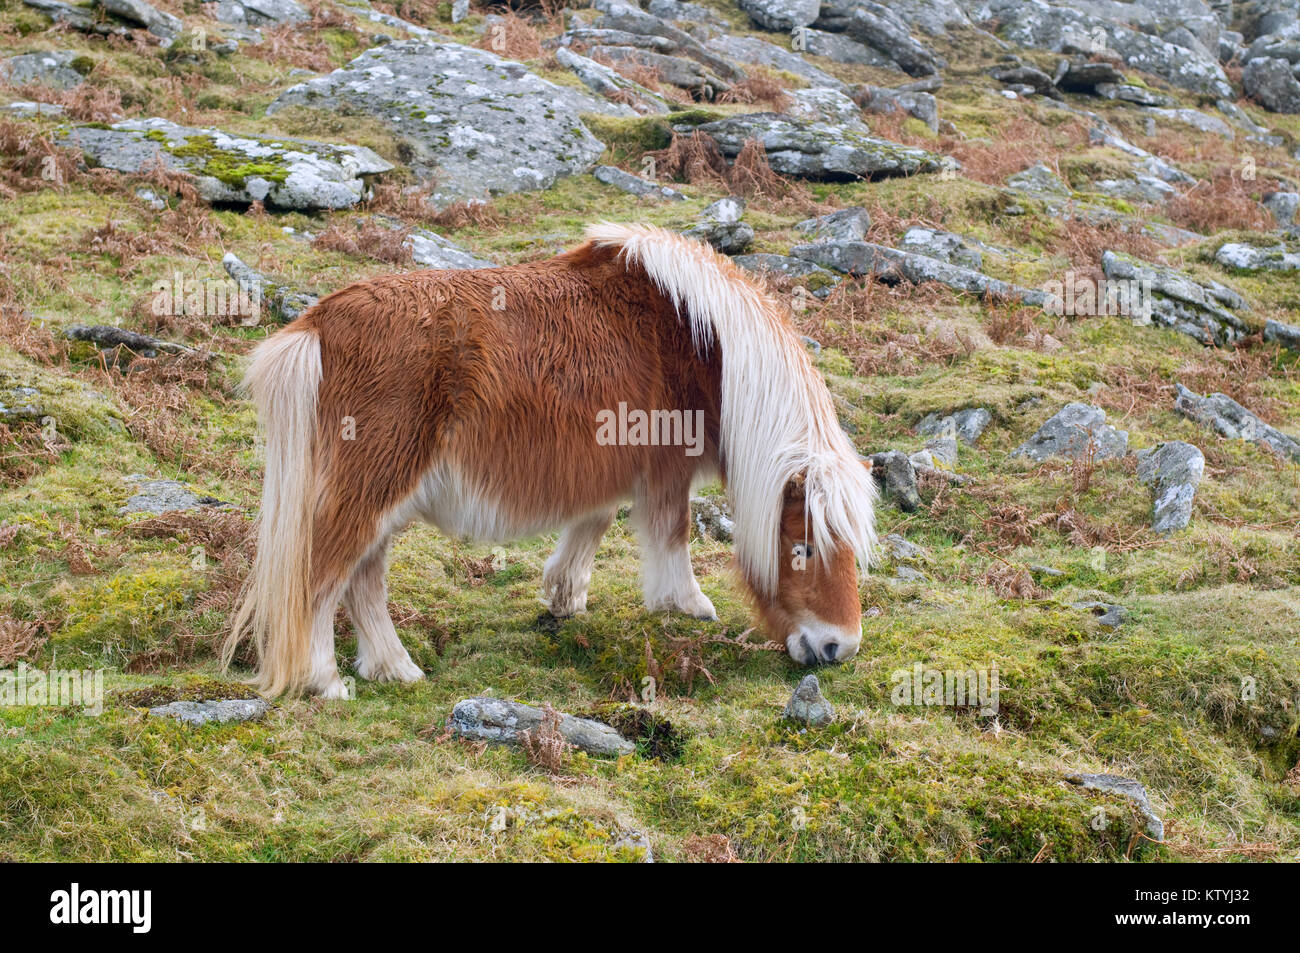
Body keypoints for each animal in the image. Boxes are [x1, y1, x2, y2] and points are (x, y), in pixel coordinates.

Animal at [223, 223, 878, 697]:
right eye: (805, 546)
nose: (839, 649)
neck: (700, 340)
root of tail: (318, 325)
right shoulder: (666, 466)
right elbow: (672, 533)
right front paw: (688, 606)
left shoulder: (613, 462)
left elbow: (594, 520)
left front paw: (564, 597)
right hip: (371, 489)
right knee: (322, 575)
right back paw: (326, 681)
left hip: (382, 496)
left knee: (362, 579)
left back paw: (395, 669)